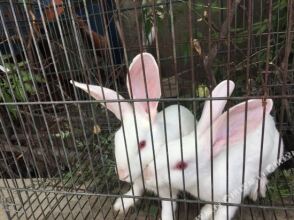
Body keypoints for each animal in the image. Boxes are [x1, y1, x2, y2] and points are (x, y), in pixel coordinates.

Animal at [70, 52, 195, 214]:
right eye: (116, 139)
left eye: (142, 144)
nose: (122, 174)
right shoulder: (137, 182)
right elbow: (136, 190)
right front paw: (121, 204)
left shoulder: (167, 190)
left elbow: (168, 206)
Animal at [144, 98, 284, 220]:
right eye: (165, 147)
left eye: (181, 165)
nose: (147, 175)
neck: (207, 174)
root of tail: (270, 120)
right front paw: (205, 212)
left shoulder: (233, 195)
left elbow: (223, 214)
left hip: (272, 159)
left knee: (263, 174)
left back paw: (257, 191)